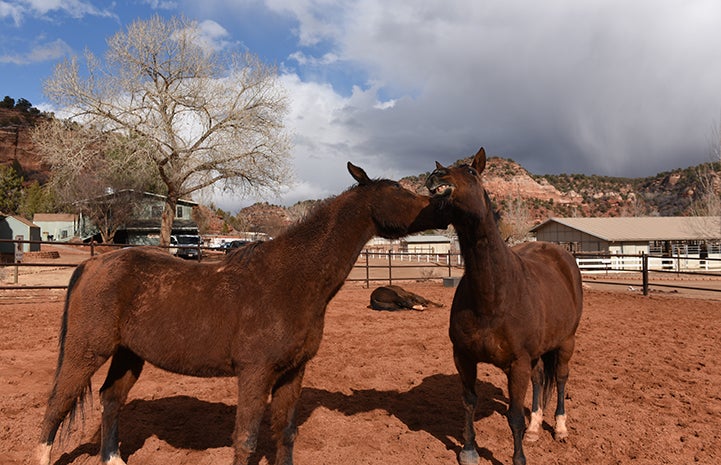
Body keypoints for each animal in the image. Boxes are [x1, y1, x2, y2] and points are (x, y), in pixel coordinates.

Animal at [38, 162, 450, 464]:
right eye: (398, 191)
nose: (441, 206)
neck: (289, 279)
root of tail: (93, 264)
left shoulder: (293, 372)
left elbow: (285, 435)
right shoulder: (255, 373)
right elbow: (247, 439)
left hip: (128, 354)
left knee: (110, 400)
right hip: (85, 352)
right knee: (56, 406)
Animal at [424, 148, 584, 464]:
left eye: (471, 172)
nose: (436, 176)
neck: (493, 296)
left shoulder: (517, 364)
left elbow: (514, 417)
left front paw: (518, 458)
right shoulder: (464, 357)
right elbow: (469, 402)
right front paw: (469, 450)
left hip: (566, 342)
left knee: (560, 378)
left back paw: (560, 428)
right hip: (538, 352)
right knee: (540, 379)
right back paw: (535, 429)